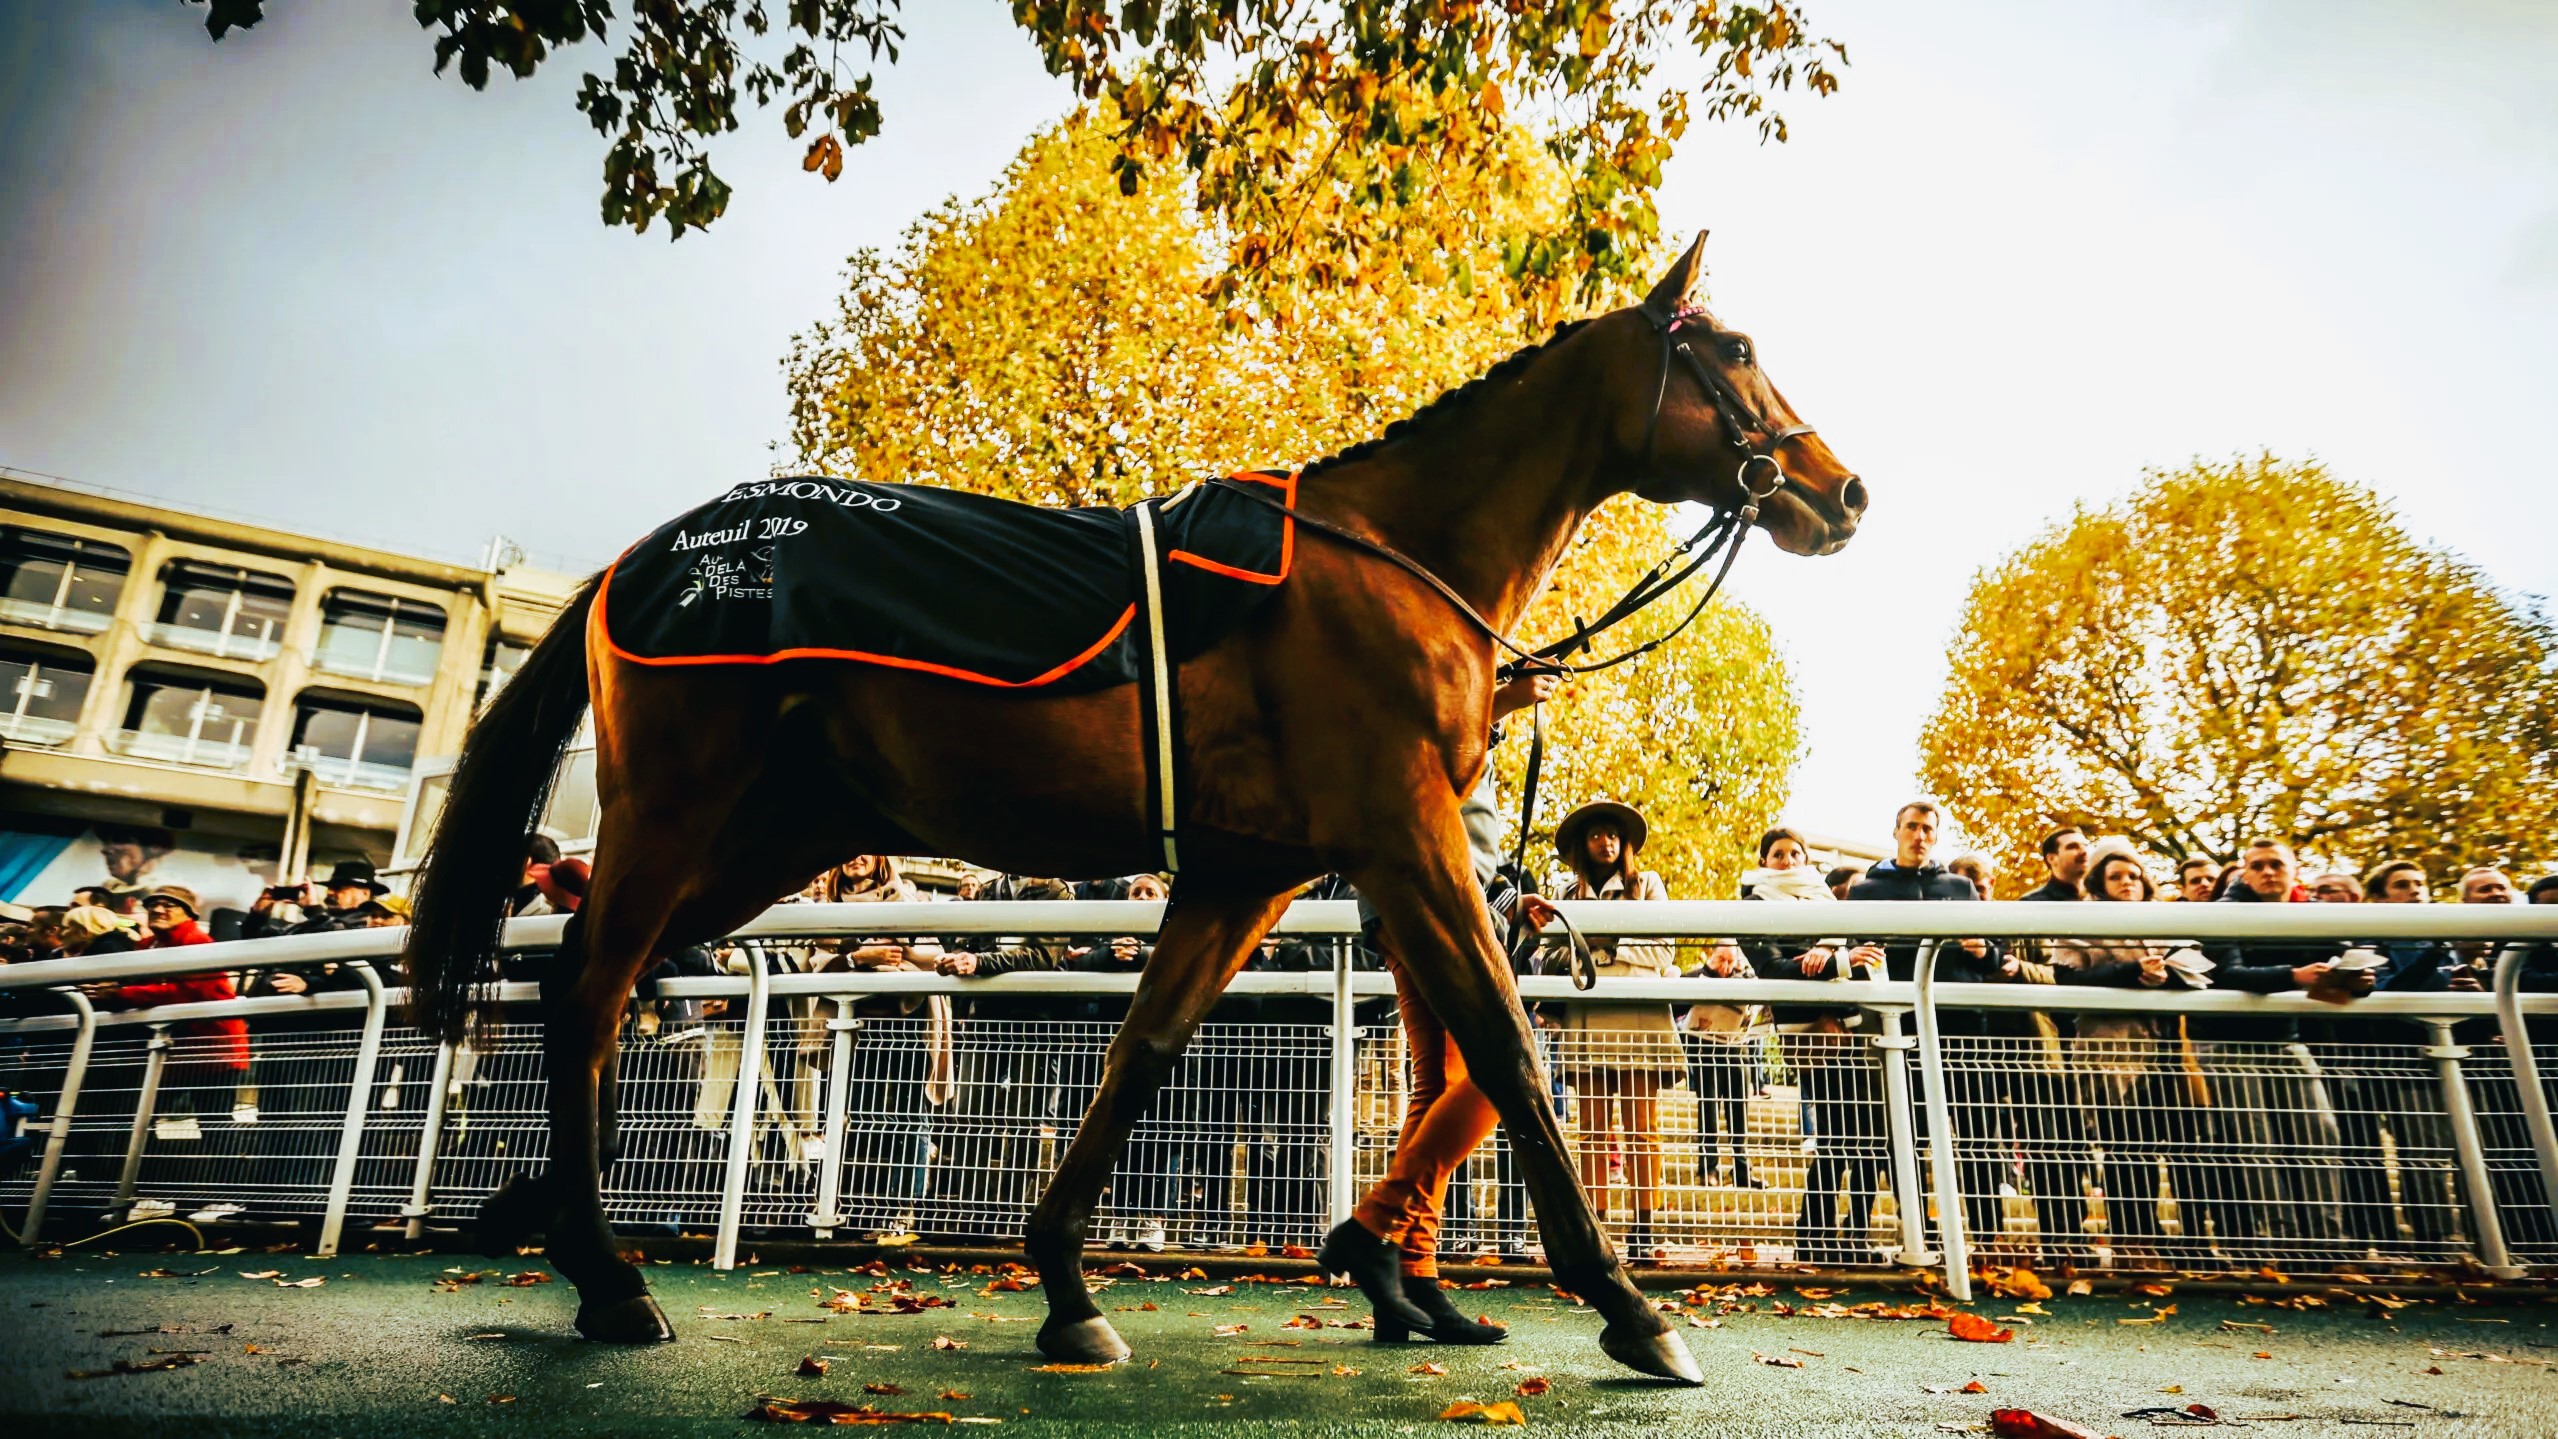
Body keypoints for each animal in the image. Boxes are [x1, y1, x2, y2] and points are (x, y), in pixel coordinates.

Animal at [409, 233, 1872, 1380]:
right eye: (1735, 347)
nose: (1841, 487)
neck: (1390, 557)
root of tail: (644, 555)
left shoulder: (1248, 868)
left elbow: (1144, 1047)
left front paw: (1068, 1282)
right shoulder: (1403, 832)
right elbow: (1506, 1048)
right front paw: (1629, 1305)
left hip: (772, 833)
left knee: (592, 981)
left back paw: (551, 1218)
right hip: (680, 802)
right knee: (592, 985)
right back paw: (609, 1276)